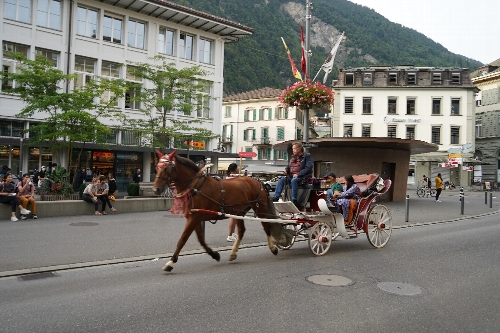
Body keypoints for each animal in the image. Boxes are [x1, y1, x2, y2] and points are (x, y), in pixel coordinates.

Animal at [152, 149, 292, 272]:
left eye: (167, 168)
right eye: (156, 168)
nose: (155, 189)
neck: (195, 186)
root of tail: (257, 181)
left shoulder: (194, 218)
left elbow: (182, 240)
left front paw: (171, 262)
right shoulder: (194, 217)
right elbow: (201, 240)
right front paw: (214, 254)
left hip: (260, 208)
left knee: (266, 226)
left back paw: (272, 248)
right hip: (240, 212)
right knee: (241, 231)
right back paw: (233, 253)